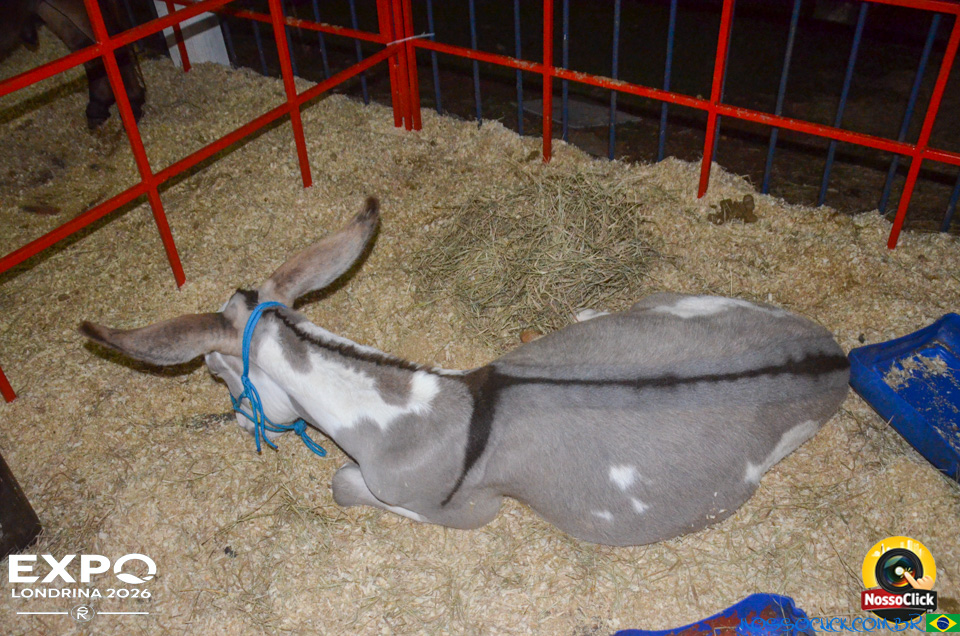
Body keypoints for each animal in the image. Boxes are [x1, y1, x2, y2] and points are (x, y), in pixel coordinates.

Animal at [79, 197, 850, 546]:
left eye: (217, 372)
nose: (243, 422)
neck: (403, 406)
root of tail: (835, 356)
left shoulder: (461, 508)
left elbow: (342, 485)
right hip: (684, 302)